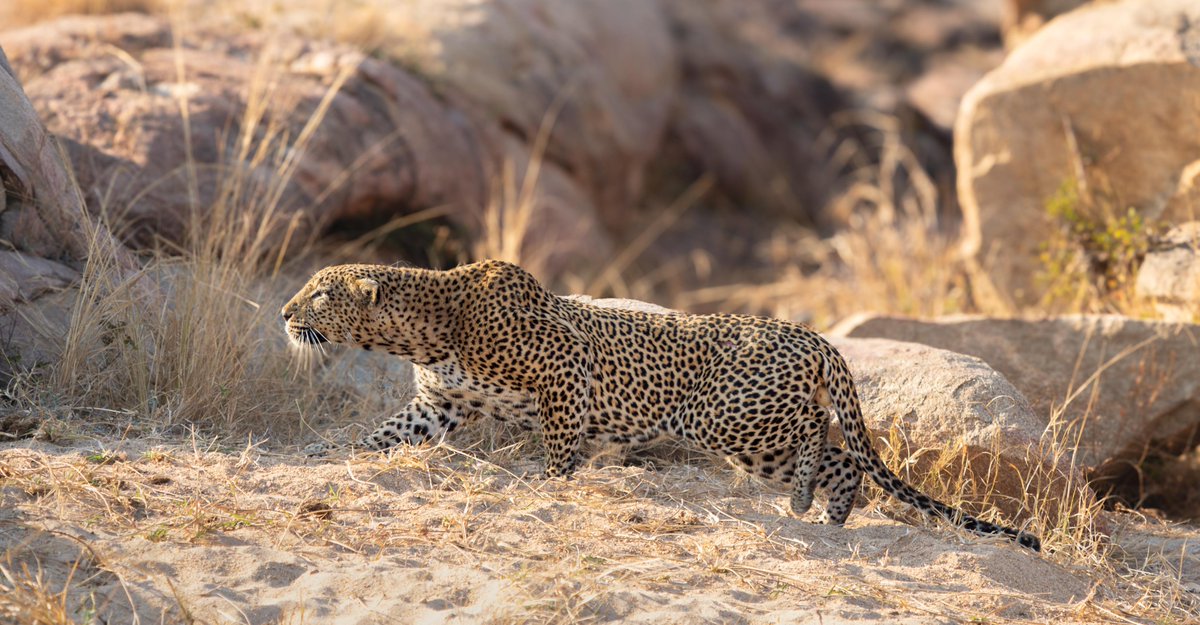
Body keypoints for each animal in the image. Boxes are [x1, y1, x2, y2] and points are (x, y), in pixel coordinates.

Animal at [282, 260, 1041, 551]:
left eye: (319, 294)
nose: (287, 312)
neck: (425, 328)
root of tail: (815, 334)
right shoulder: (440, 405)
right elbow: (379, 435)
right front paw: (326, 452)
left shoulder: (566, 373)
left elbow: (560, 449)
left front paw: (552, 486)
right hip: (751, 434)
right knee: (838, 460)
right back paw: (824, 515)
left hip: (726, 417)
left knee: (823, 436)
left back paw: (806, 501)